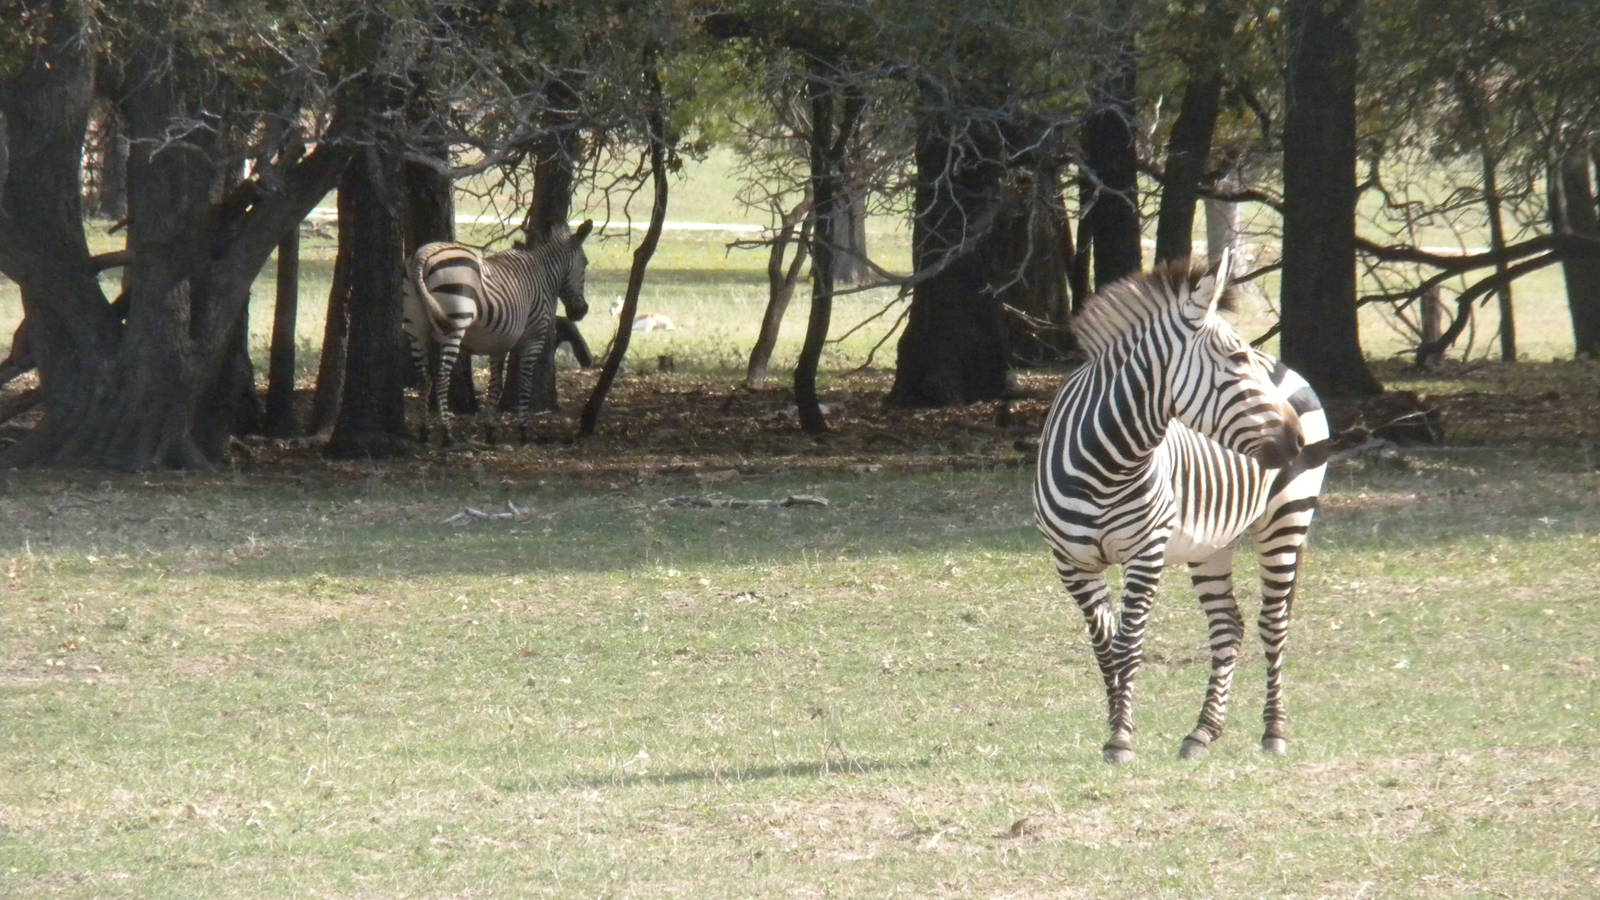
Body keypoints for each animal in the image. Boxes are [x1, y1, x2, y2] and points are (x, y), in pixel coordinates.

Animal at [403, 220, 594, 445]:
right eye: (586, 263)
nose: (581, 311)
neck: (543, 277)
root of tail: (422, 254)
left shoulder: (499, 343)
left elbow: (495, 386)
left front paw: (490, 430)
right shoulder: (533, 338)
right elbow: (524, 383)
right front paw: (523, 429)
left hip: (416, 329)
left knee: (425, 378)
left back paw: (424, 431)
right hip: (455, 325)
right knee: (441, 376)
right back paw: (447, 433)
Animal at [1033, 251, 1330, 763]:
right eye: (1236, 358)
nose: (1298, 443)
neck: (1106, 463)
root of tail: (1281, 363)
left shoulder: (1145, 553)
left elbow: (1129, 643)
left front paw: (1120, 736)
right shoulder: (1070, 562)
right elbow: (1105, 647)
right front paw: (1116, 724)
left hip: (1288, 516)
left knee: (1273, 622)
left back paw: (1274, 730)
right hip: (1212, 541)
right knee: (1228, 626)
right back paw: (1202, 733)